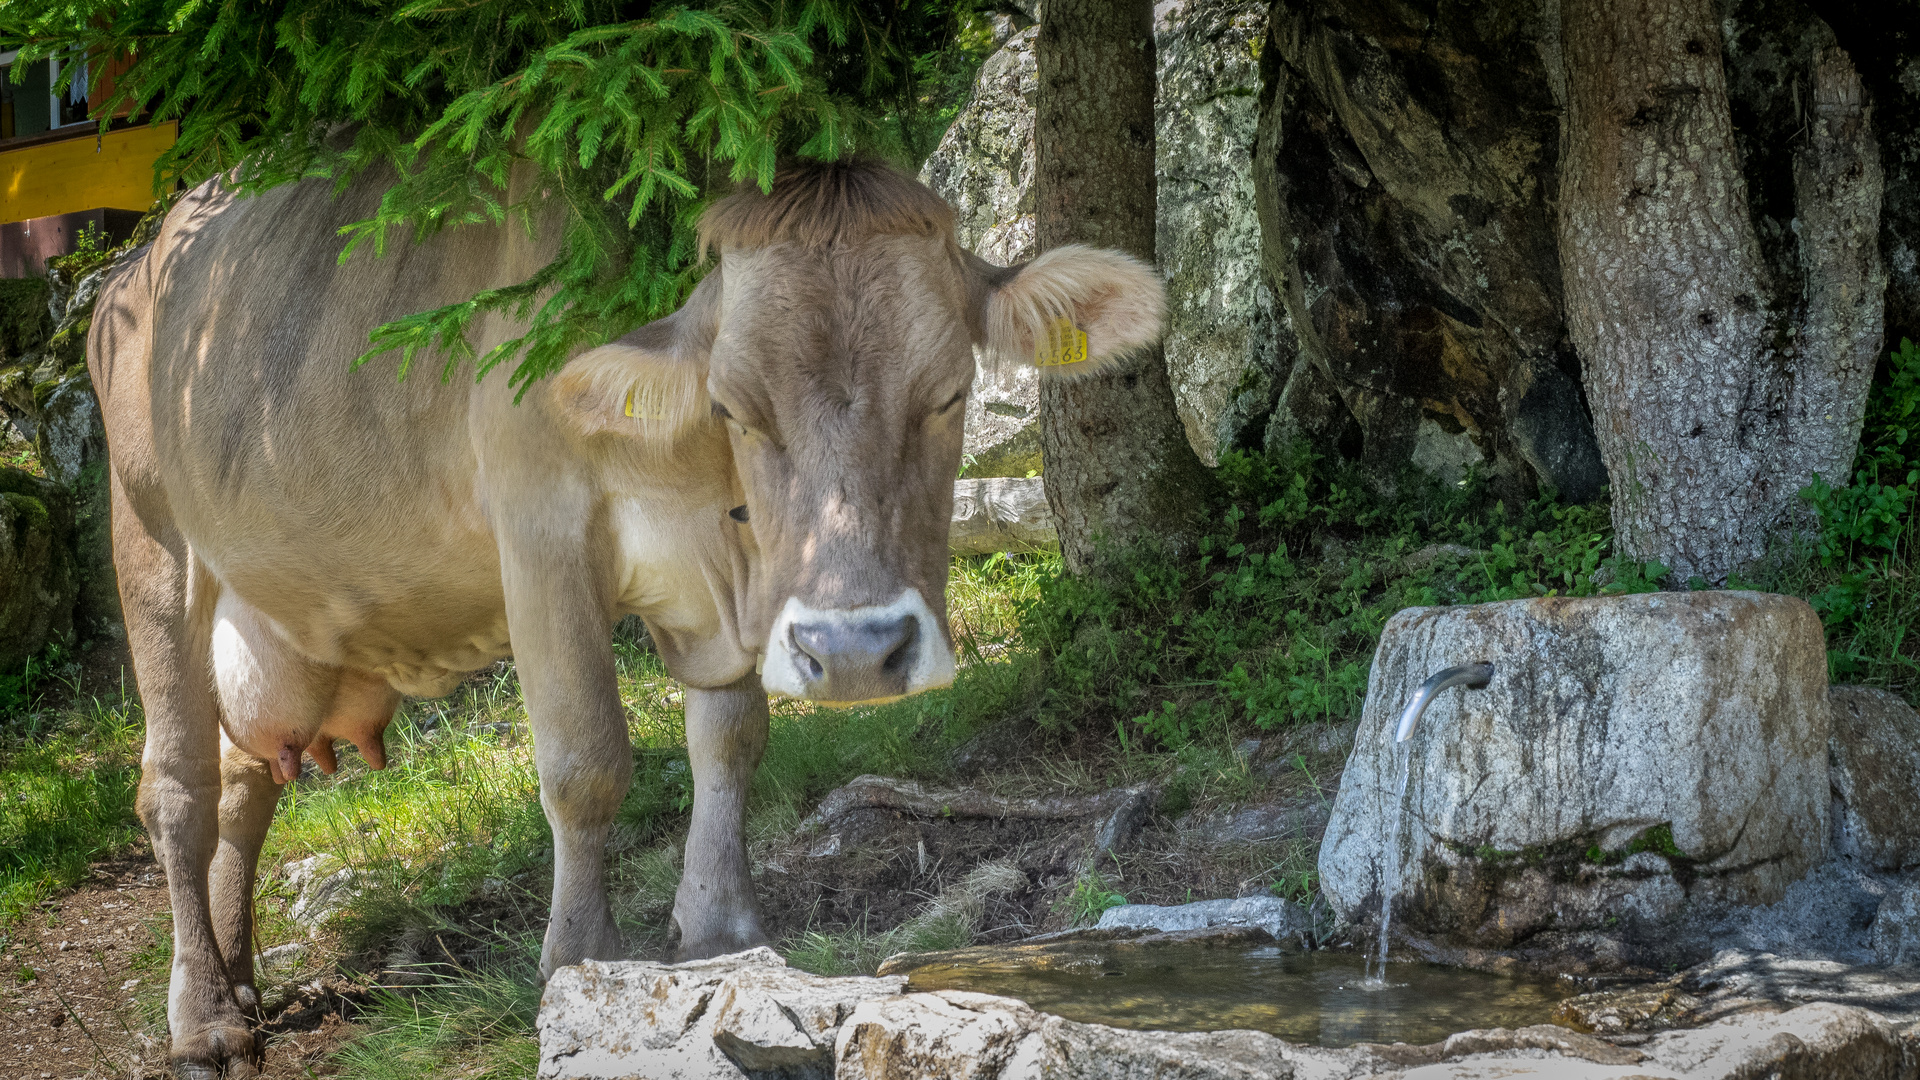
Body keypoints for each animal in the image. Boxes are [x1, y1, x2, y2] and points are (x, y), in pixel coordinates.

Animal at [90, 155, 1159, 1068]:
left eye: (949, 392)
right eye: (737, 407)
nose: (857, 651)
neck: (704, 500)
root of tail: (138, 263)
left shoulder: (722, 596)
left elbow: (730, 736)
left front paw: (720, 929)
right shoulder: (539, 528)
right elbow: (586, 762)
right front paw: (579, 957)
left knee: (244, 781)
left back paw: (238, 982)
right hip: (150, 537)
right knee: (177, 786)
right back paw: (203, 1021)